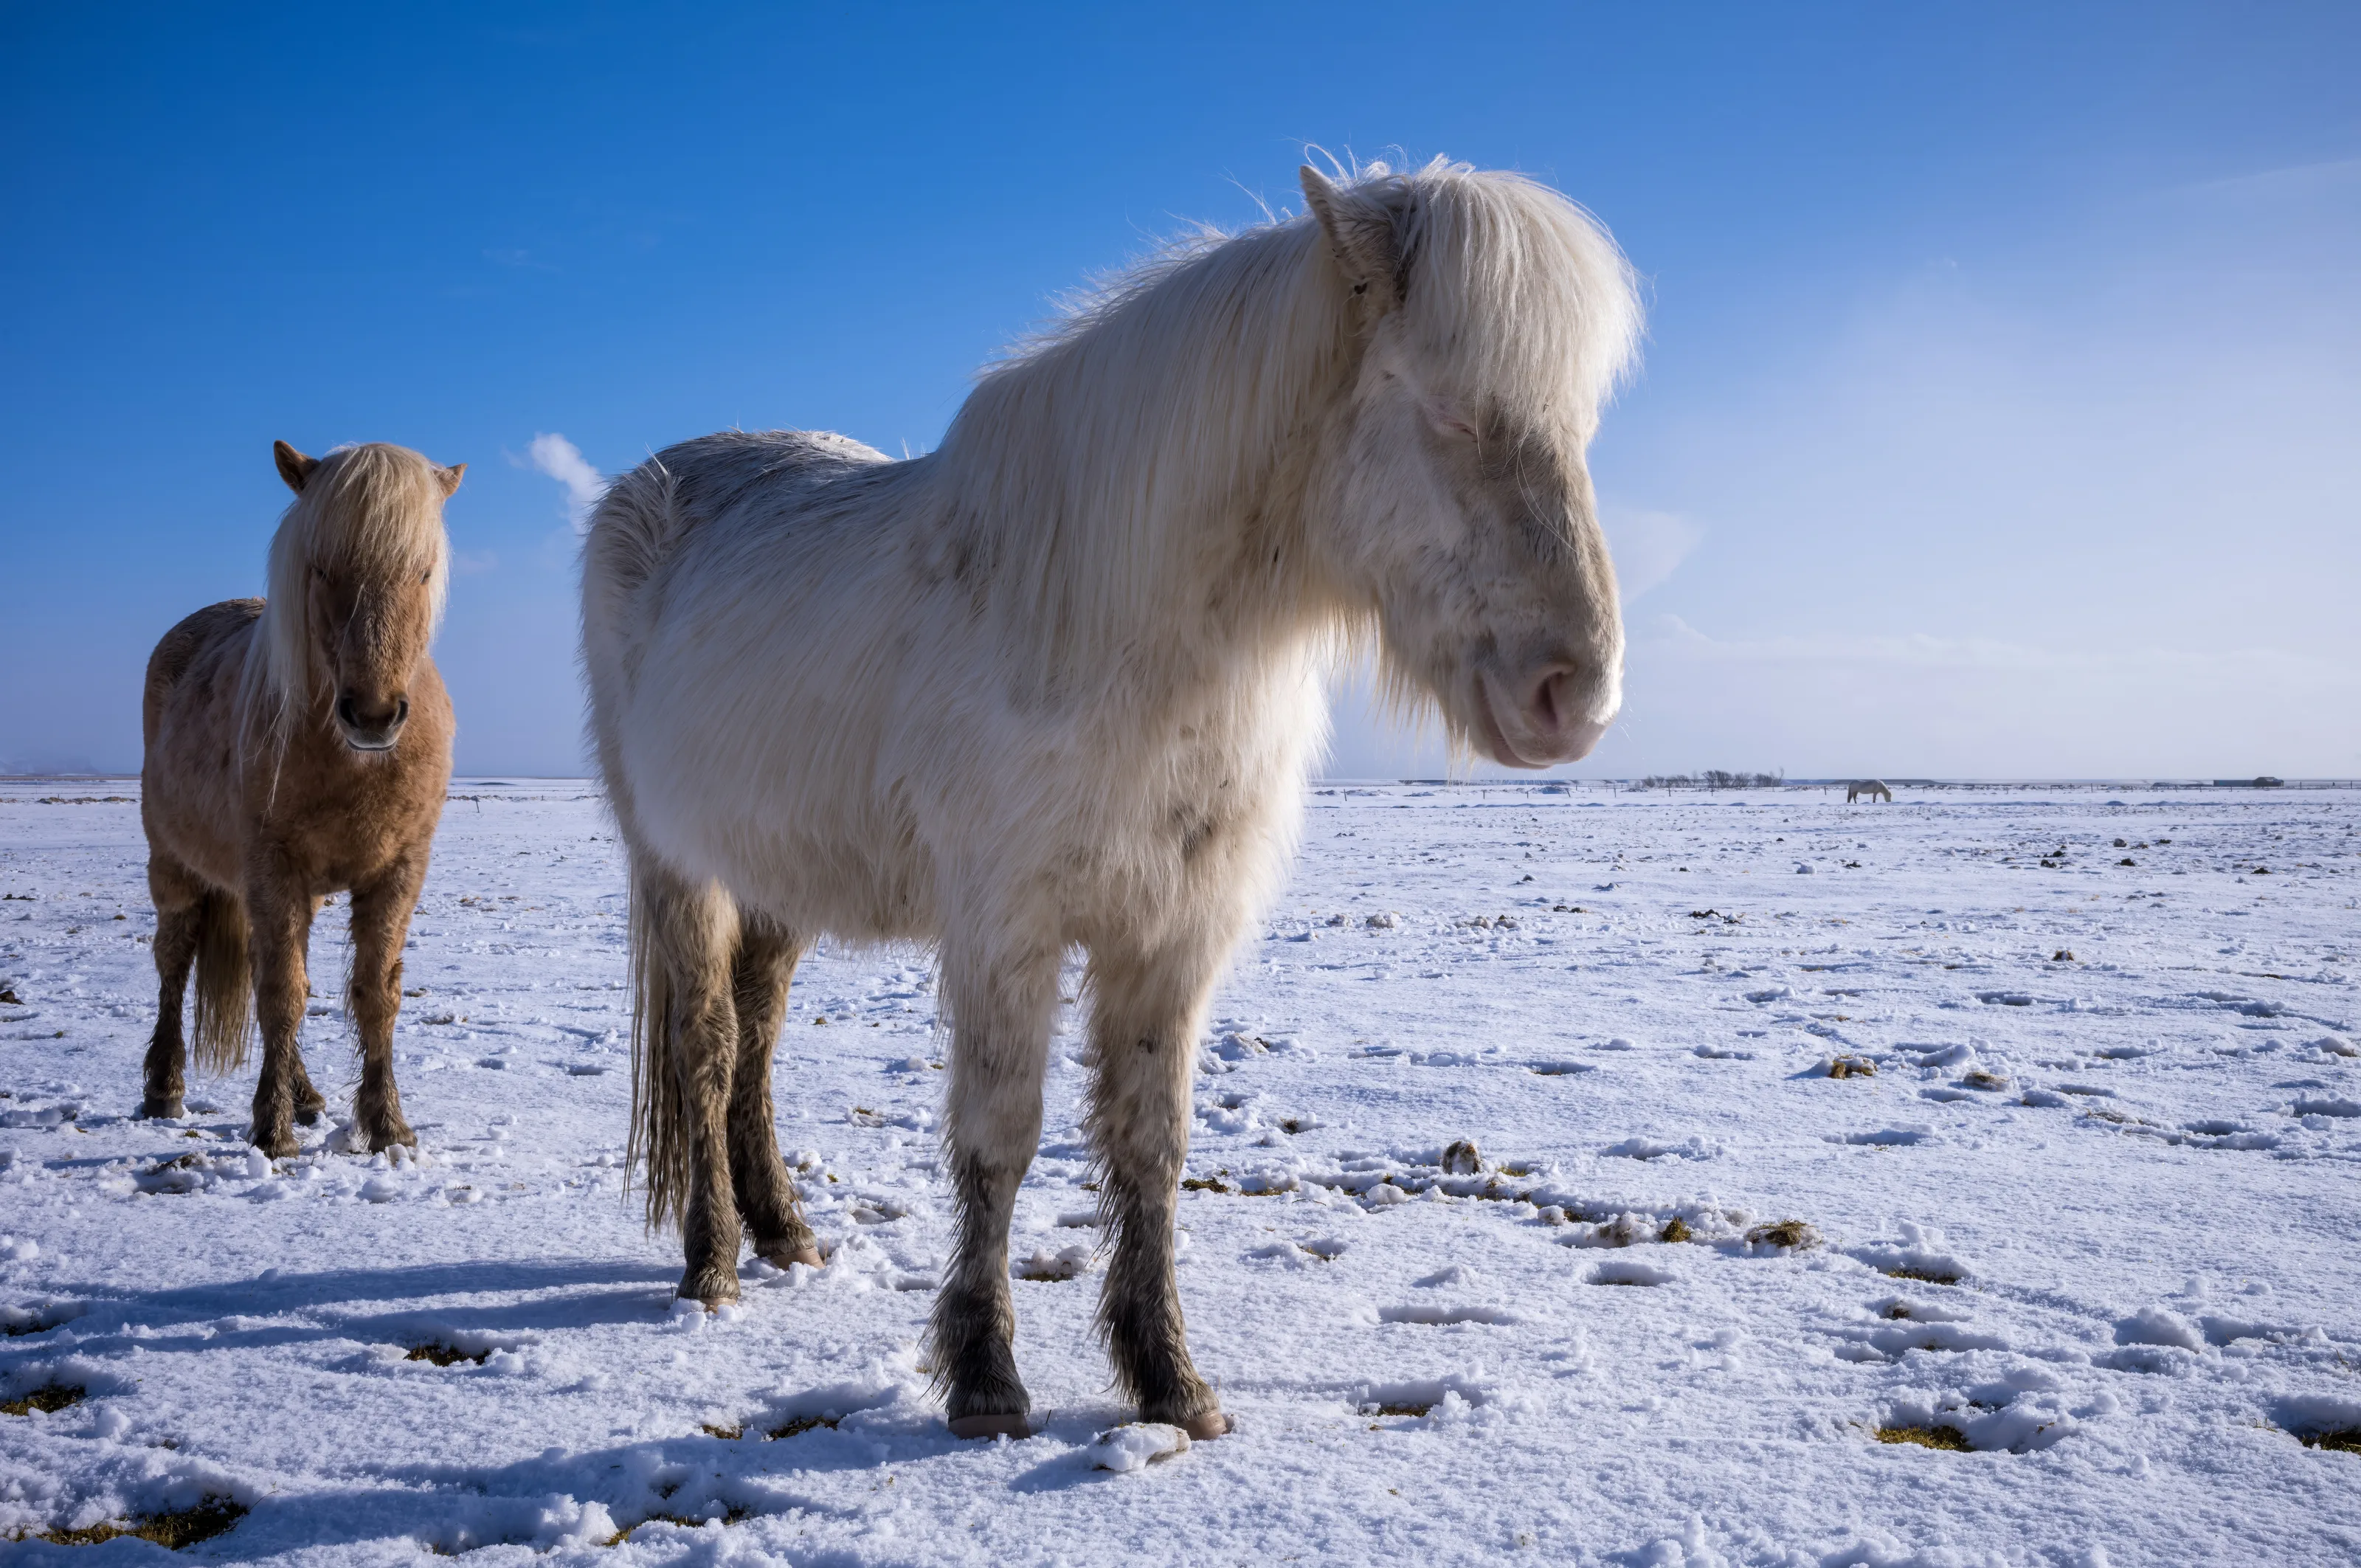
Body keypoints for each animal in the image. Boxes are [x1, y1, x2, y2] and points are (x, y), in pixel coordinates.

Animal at [139, 441, 463, 1159]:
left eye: (423, 570)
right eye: (321, 568)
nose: (373, 715)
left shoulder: (401, 870)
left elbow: (373, 993)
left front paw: (387, 1125)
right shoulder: (272, 868)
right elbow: (282, 994)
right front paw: (272, 1130)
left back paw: (309, 1095)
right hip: (175, 868)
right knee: (174, 962)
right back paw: (164, 1089)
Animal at [580, 158, 1641, 1441]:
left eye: (1580, 431)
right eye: (1445, 409)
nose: (1576, 696)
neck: (1117, 633)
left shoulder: (1172, 937)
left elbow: (1150, 1146)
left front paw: (1170, 1379)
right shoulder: (1007, 931)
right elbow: (1000, 1140)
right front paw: (986, 1376)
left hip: (779, 874)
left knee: (760, 1036)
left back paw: (783, 1230)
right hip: (676, 866)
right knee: (707, 1043)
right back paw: (714, 1263)